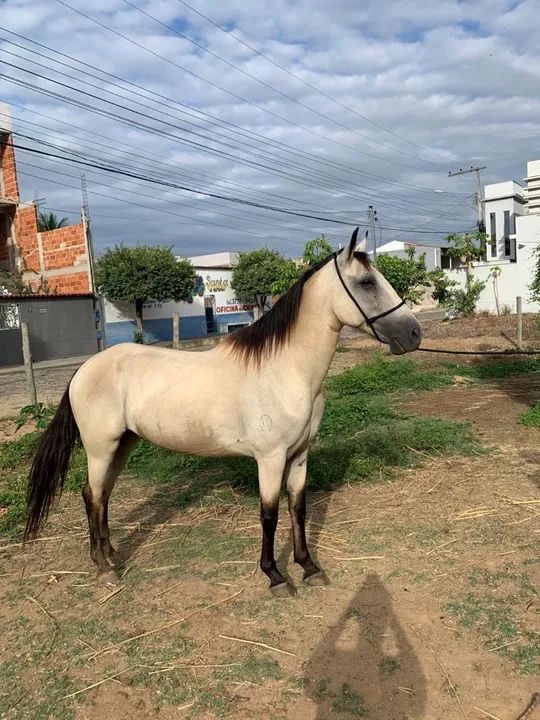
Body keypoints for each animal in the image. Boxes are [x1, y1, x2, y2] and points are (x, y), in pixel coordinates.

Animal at [24, 229, 421, 597]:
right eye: (367, 282)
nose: (414, 334)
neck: (285, 370)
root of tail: (84, 369)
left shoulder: (299, 455)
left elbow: (298, 508)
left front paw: (309, 567)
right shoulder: (270, 458)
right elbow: (269, 514)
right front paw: (275, 576)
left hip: (123, 445)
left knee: (103, 494)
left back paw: (112, 554)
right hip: (100, 448)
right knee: (91, 496)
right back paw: (103, 568)